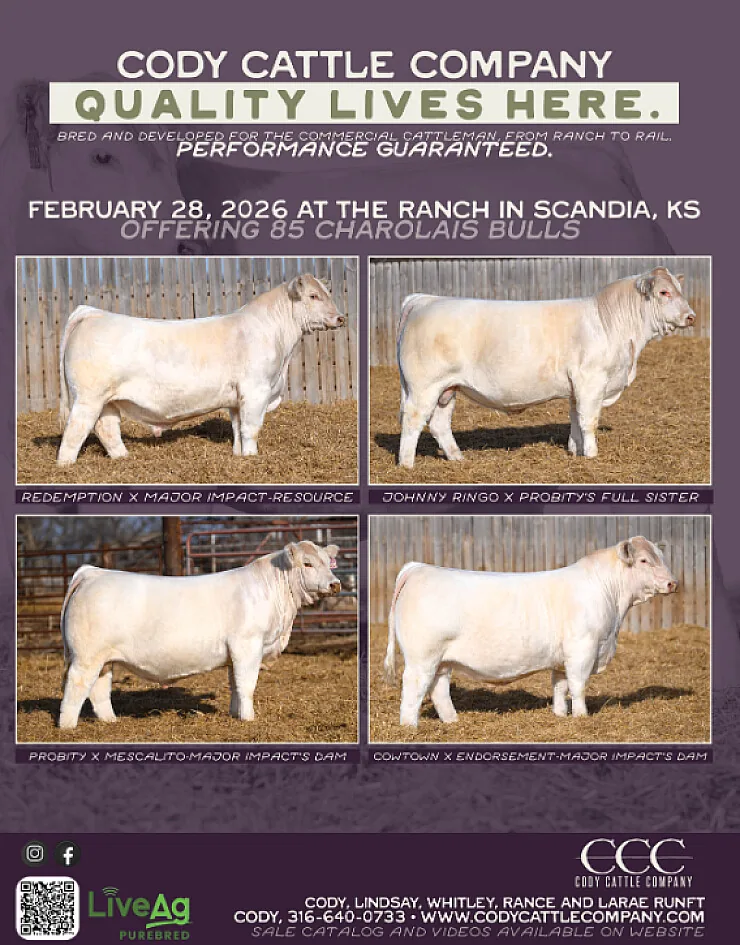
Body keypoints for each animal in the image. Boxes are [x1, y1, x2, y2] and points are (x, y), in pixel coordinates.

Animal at [56, 274, 345, 465]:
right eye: (313, 296)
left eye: (327, 294)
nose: (341, 318)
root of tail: (93, 313)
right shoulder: (256, 389)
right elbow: (251, 428)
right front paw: (252, 456)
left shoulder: (236, 398)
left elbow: (237, 428)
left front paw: (240, 456)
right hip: (88, 397)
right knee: (76, 429)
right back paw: (66, 465)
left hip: (107, 400)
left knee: (107, 428)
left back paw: (123, 458)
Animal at [58, 540, 341, 729]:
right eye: (307, 563)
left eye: (328, 563)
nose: (335, 584)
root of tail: (93, 572)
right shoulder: (248, 645)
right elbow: (247, 685)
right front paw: (249, 719)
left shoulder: (235, 653)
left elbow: (235, 684)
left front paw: (235, 714)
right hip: (86, 656)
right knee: (77, 685)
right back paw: (68, 726)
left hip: (104, 659)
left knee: (99, 689)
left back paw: (111, 720)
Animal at [383, 536, 677, 727]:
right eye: (643, 560)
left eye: (661, 558)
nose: (672, 583)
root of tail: (419, 567)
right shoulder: (583, 648)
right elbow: (578, 686)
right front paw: (581, 717)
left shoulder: (561, 657)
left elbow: (560, 686)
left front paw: (560, 715)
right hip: (422, 657)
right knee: (414, 688)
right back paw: (409, 726)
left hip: (442, 660)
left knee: (439, 690)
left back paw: (452, 721)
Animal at [396, 267, 696, 468]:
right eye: (664, 292)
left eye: (679, 290)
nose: (691, 316)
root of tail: (425, 299)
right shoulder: (591, 380)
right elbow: (589, 420)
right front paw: (592, 455)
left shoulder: (577, 387)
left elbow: (575, 419)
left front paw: (575, 451)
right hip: (424, 386)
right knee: (413, 419)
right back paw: (407, 464)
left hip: (448, 388)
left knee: (438, 424)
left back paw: (457, 457)